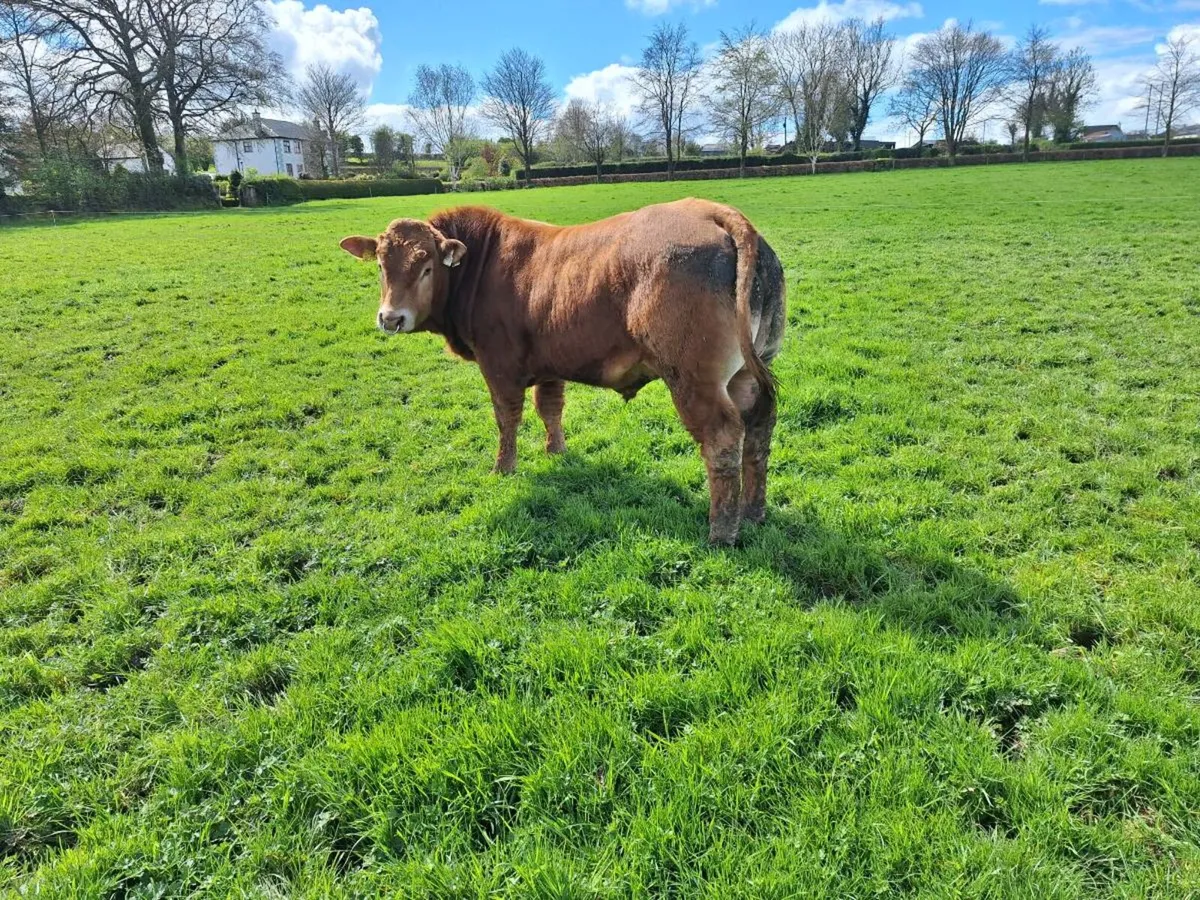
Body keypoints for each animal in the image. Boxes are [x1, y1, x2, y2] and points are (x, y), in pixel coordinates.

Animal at [338, 198, 786, 545]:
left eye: (426, 265)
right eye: (381, 266)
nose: (390, 318)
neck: (481, 264)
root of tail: (718, 213)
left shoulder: (498, 366)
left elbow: (507, 419)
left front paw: (504, 467)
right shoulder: (548, 363)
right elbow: (549, 408)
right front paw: (556, 451)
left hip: (694, 379)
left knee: (723, 438)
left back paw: (722, 531)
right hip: (750, 371)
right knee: (759, 428)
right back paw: (753, 511)